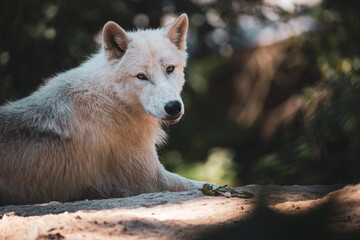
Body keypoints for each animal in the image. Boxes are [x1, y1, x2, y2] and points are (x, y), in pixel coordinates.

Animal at [0, 13, 212, 205]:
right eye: (141, 76)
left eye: (169, 69)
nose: (173, 107)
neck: (113, 99)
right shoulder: (152, 178)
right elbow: (205, 185)